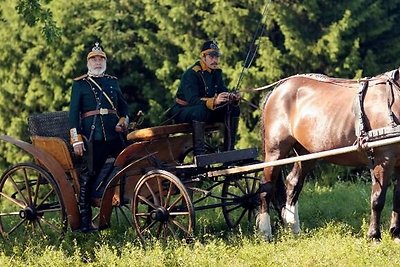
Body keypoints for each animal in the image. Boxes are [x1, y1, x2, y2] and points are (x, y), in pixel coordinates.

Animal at [258, 69, 400, 243]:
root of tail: (277, 89)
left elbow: (398, 198)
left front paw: (396, 234)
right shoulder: (383, 159)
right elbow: (378, 198)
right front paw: (374, 236)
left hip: (306, 154)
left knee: (293, 183)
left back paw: (294, 229)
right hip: (275, 151)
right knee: (266, 187)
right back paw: (266, 233)